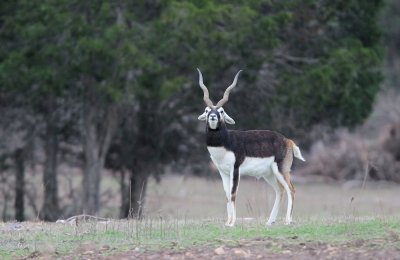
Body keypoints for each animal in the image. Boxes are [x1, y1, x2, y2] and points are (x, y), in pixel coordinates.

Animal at [198, 68, 306, 225]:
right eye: (207, 110)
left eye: (221, 111)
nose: (213, 116)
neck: (226, 142)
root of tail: (287, 140)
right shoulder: (223, 172)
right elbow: (227, 194)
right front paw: (227, 222)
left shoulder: (235, 170)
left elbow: (233, 193)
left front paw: (232, 223)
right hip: (269, 174)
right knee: (280, 191)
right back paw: (270, 222)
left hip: (282, 170)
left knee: (291, 190)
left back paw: (287, 221)